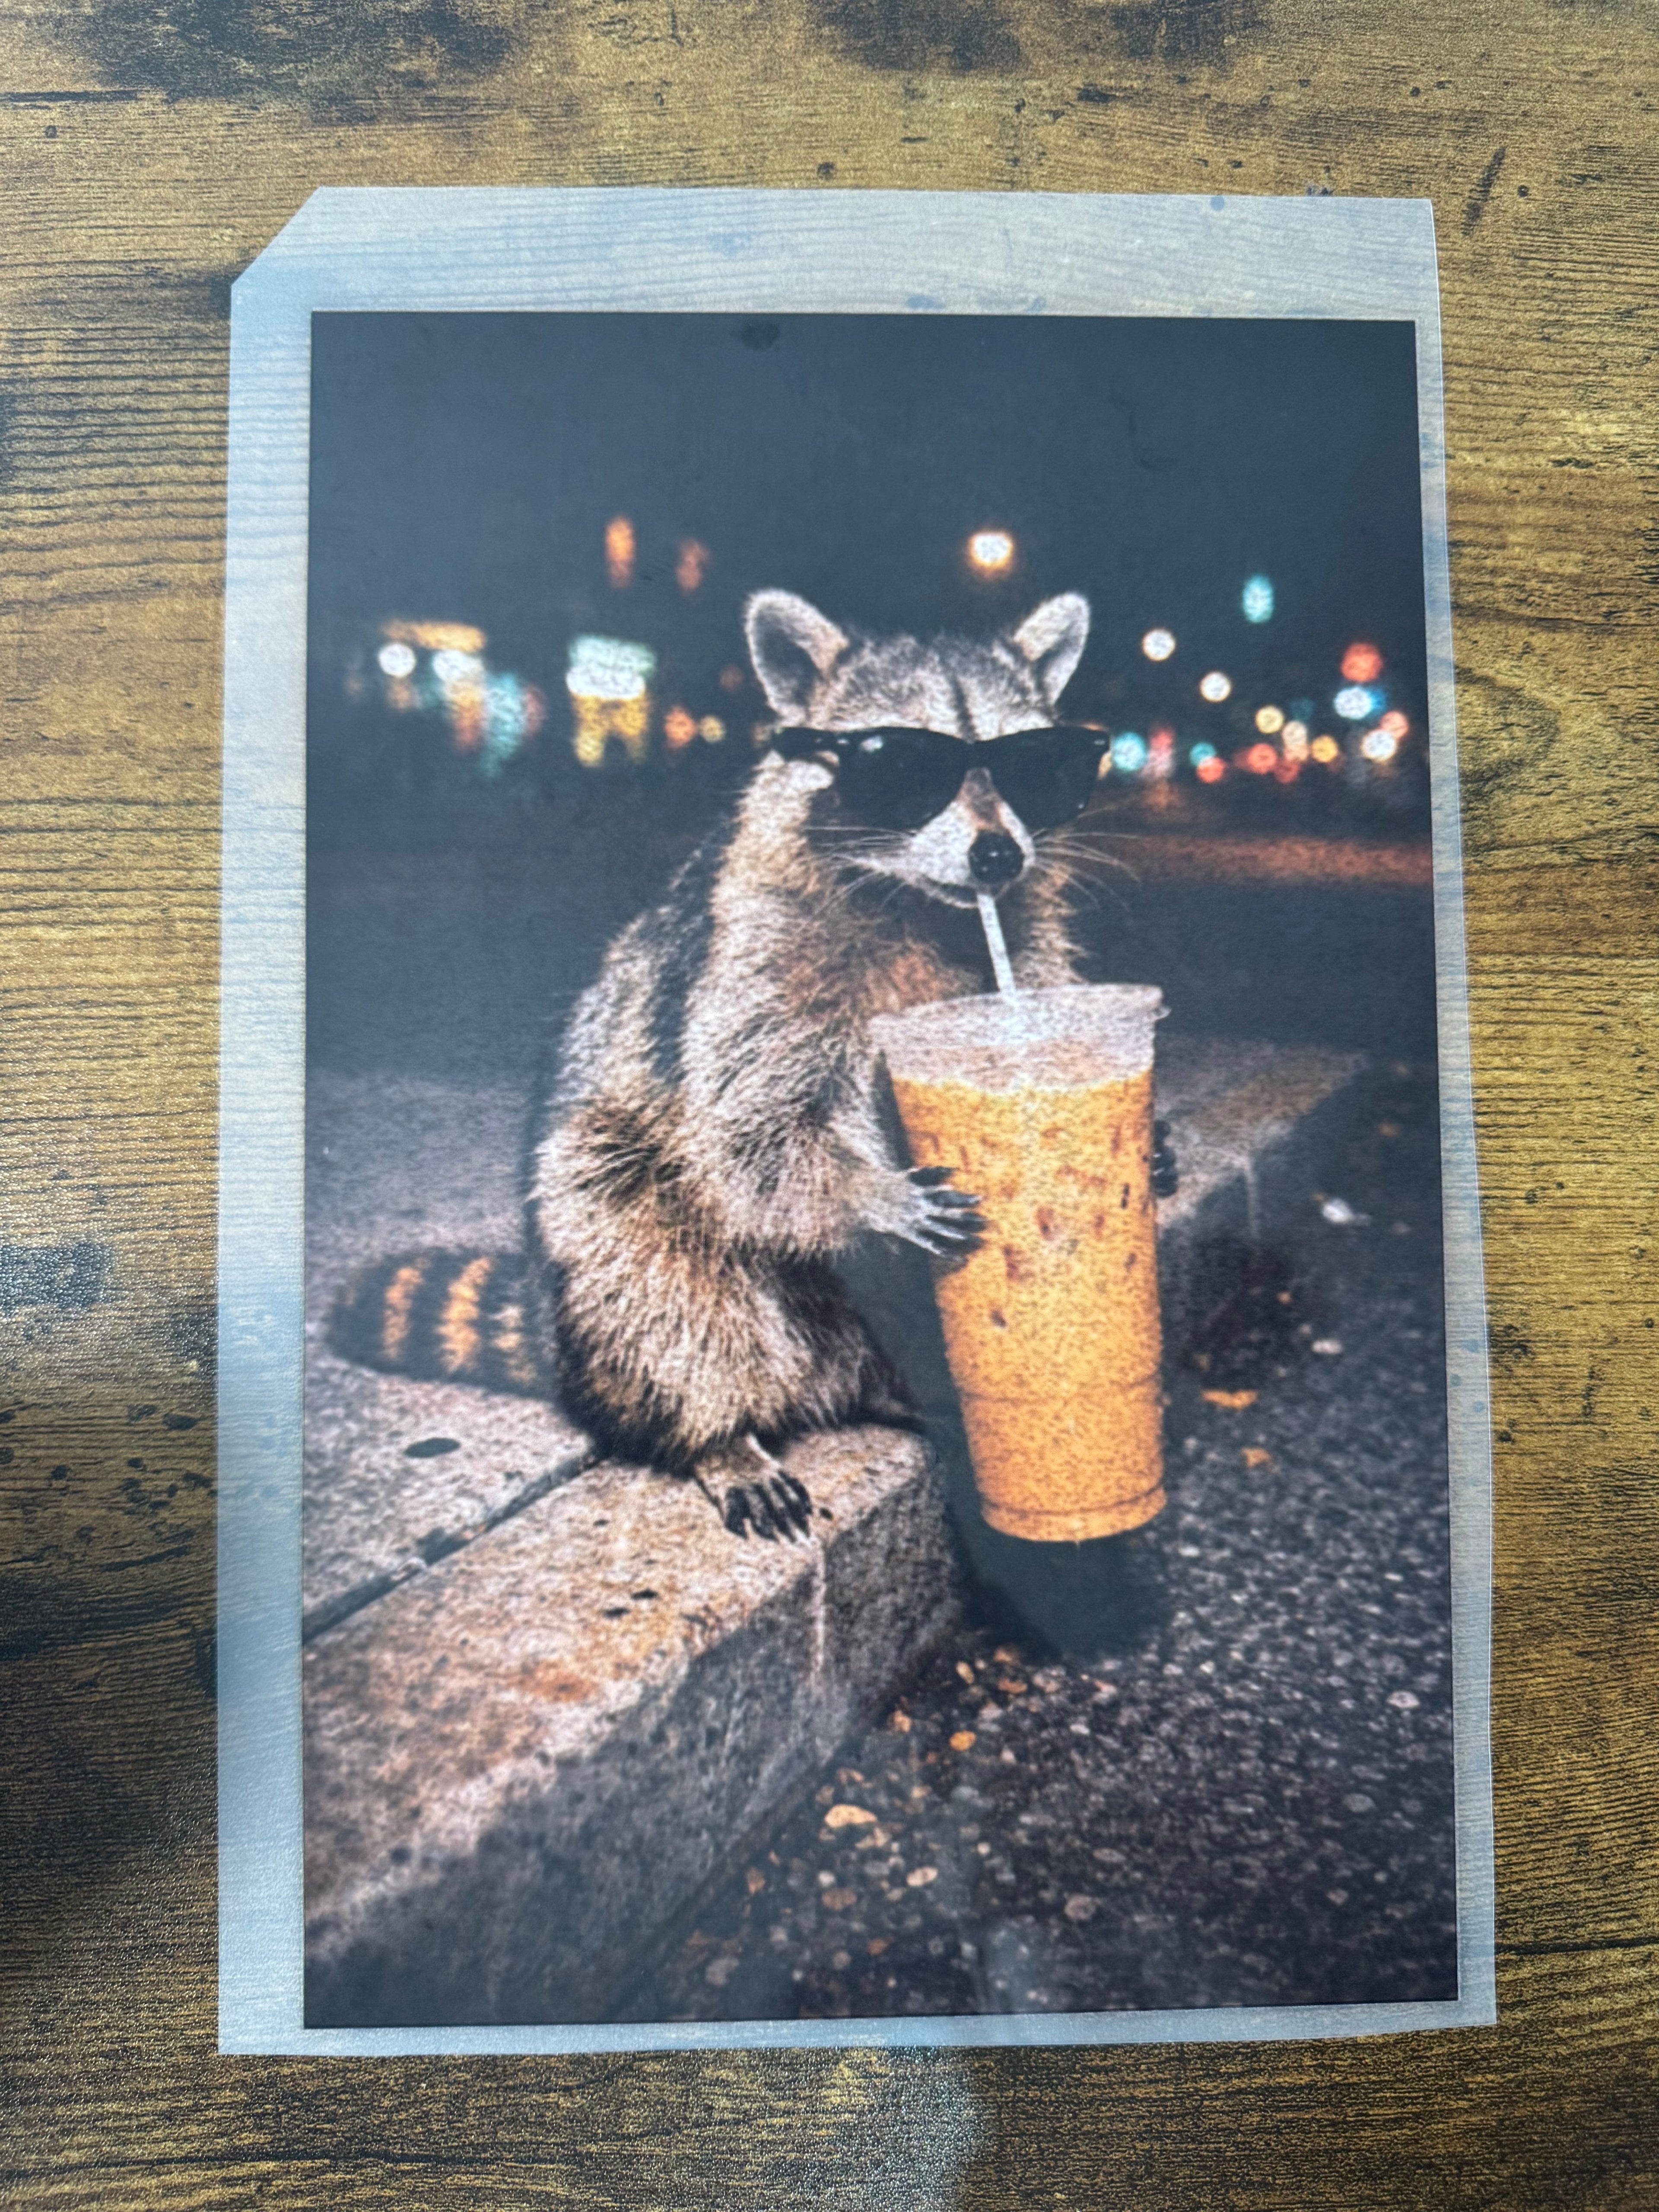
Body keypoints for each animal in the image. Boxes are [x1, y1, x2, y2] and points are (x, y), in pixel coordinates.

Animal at [333, 588, 1153, 1540]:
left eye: (1034, 767)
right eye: (906, 767)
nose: (998, 855)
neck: (920, 906)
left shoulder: (1024, 940)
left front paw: (1156, 1146)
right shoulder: (754, 960)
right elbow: (753, 1132)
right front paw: (870, 1192)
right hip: (611, 1212)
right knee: (653, 1269)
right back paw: (716, 1434)